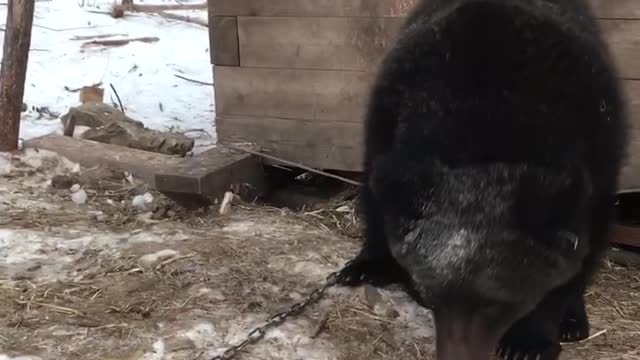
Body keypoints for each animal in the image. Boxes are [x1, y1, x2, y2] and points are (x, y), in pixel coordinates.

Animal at [338, 0, 628, 360]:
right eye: (429, 294)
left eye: (498, 305)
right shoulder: (387, 122)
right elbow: (378, 201)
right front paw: (365, 265)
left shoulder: (594, 153)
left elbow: (574, 259)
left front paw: (530, 339)